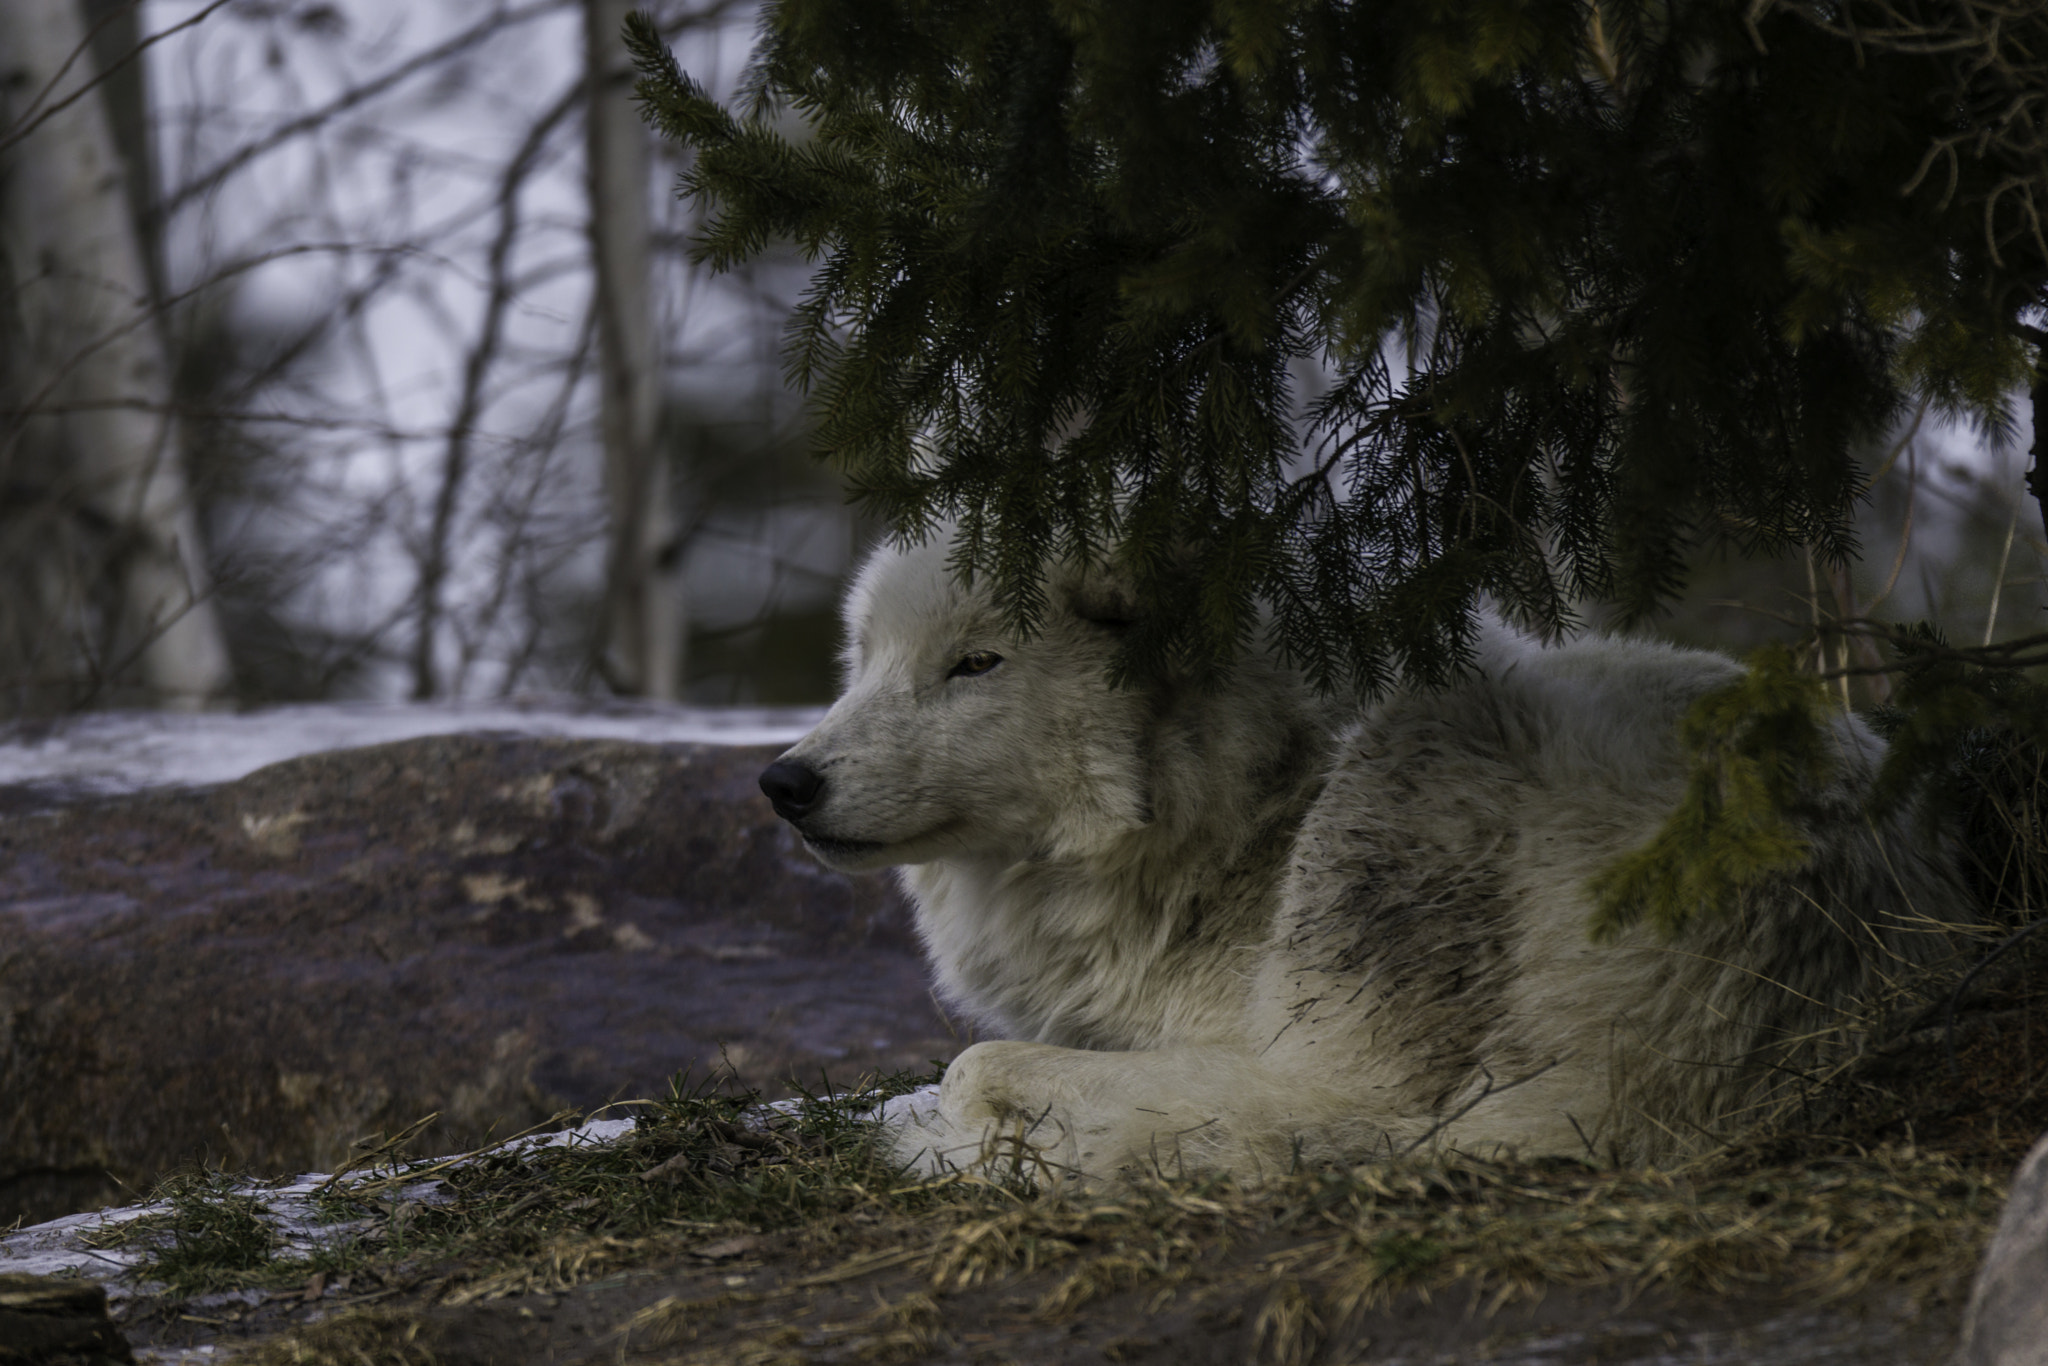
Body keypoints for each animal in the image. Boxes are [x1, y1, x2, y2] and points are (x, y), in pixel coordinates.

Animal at [758, 535, 1965, 1180]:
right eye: (866, 658)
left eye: (974, 663)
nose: (784, 782)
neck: (1248, 805)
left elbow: (973, 1064)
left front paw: (951, 1125)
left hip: (1403, 802)